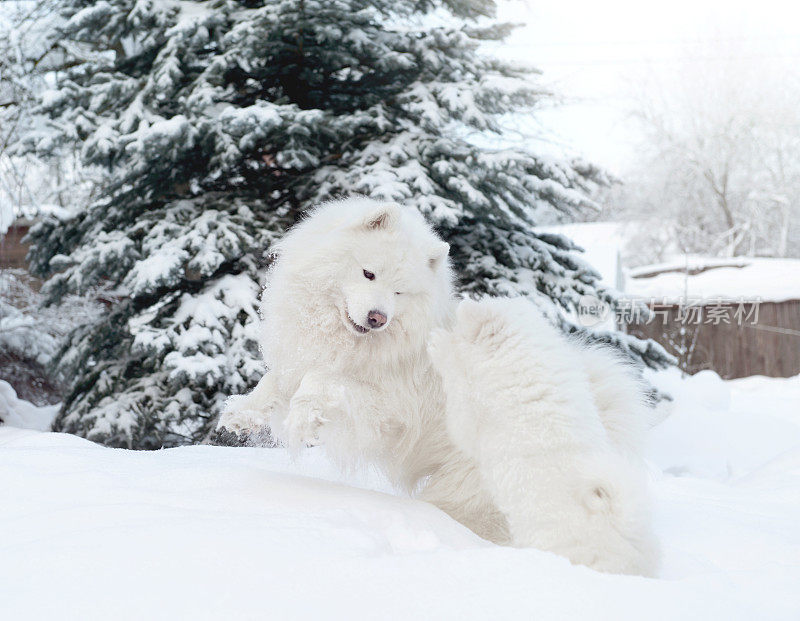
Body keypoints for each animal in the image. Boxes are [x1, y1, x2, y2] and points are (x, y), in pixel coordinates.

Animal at [219, 197, 506, 544]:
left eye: (399, 292)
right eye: (369, 274)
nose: (377, 318)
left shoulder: (388, 408)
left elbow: (318, 382)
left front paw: (302, 420)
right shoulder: (306, 357)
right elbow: (274, 381)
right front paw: (242, 413)